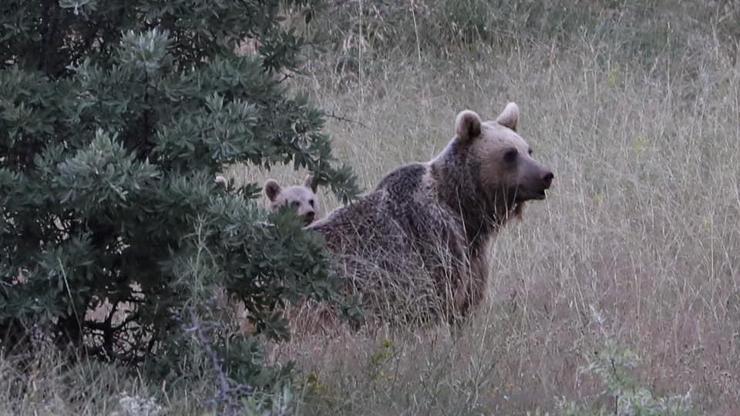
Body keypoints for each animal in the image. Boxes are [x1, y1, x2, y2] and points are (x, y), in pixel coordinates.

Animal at [304, 102, 552, 324]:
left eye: (528, 149)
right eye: (509, 154)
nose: (546, 175)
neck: (464, 209)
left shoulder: (473, 254)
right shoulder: (436, 238)